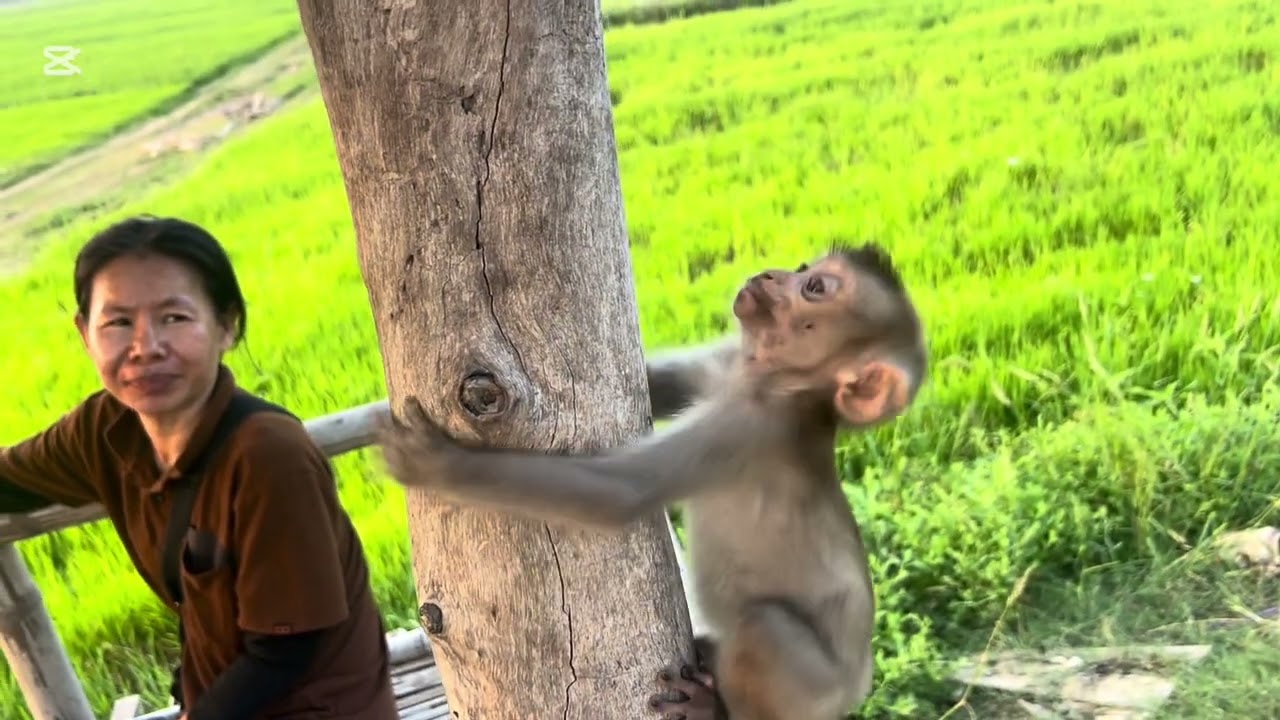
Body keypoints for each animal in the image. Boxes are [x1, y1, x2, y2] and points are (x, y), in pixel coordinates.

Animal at [376, 243, 928, 720]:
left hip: (817, 690)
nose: (771, 275)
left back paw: (714, 708)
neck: (776, 383)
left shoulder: (746, 427)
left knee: (763, 628)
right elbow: (655, 380)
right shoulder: (723, 365)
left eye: (813, 287)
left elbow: (621, 494)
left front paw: (435, 463)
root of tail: (861, 682)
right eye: (803, 267)